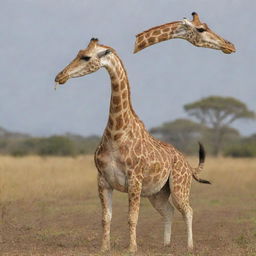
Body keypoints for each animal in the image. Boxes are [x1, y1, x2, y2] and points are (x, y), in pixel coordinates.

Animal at [54, 39, 210, 253]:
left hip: (179, 186)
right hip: (156, 192)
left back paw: (189, 247)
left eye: (86, 57)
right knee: (168, 211)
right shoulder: (103, 180)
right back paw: (166, 245)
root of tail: (187, 164)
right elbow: (106, 218)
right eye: (78, 53)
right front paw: (104, 248)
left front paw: (132, 248)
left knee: (188, 210)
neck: (116, 133)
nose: (60, 76)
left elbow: (132, 217)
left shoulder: (134, 180)